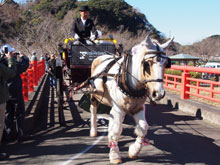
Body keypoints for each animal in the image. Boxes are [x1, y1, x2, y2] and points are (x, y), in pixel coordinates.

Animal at [88, 35, 173, 164]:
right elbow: (116, 130)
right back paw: (93, 131)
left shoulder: (138, 108)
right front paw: (115, 155)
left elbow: (143, 128)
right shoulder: (118, 108)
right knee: (93, 110)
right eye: (147, 63)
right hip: (94, 94)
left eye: (166, 64)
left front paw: (134, 151)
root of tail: (101, 56)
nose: (158, 93)